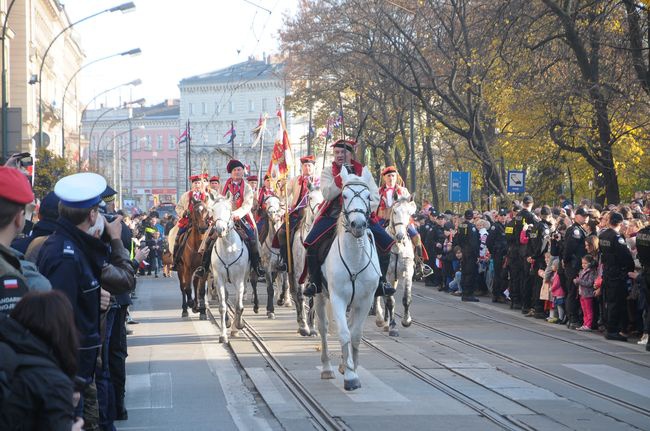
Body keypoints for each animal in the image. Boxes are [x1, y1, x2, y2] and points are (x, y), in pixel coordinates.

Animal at [210, 196, 248, 344]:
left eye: (229, 209)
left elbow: (239, 306)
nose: (220, 229)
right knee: (225, 297)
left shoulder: (239, 279)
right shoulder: (219, 278)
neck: (228, 248)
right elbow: (222, 306)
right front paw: (223, 335)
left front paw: (238, 325)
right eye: (213, 210)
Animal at [316, 165, 380, 392]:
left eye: (368, 196)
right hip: (319, 295)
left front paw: (352, 366)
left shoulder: (365, 300)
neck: (354, 259)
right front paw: (351, 377)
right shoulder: (338, 298)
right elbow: (343, 333)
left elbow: (355, 335)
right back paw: (327, 368)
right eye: (344, 195)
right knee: (324, 328)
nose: (358, 224)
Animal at [374, 197, 416, 336]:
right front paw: (393, 326)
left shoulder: (407, 272)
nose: (400, 236)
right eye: (395, 212)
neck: (397, 247)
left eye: (409, 213)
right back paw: (381, 320)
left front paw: (406, 320)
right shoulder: (387, 274)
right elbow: (390, 301)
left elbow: (406, 298)